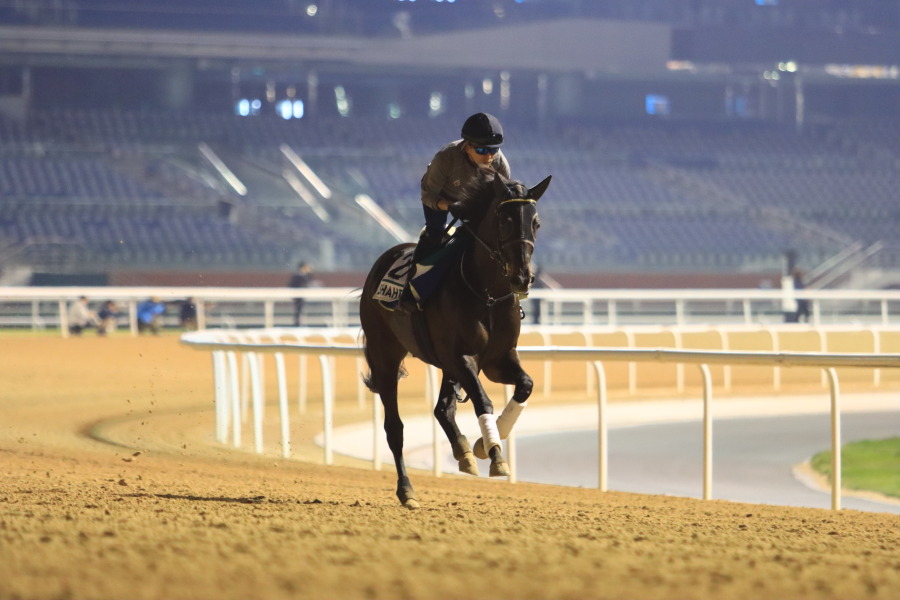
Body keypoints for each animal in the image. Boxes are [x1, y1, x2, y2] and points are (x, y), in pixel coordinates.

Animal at [358, 169, 548, 506]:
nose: (522, 278)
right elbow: (483, 401)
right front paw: (496, 455)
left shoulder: (497, 359)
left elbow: (525, 385)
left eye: (535, 222)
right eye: (505, 220)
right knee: (394, 427)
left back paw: (463, 451)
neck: (487, 293)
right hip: (386, 355)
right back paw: (406, 490)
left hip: (446, 365)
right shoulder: (461, 356)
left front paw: (483, 445)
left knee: (442, 408)